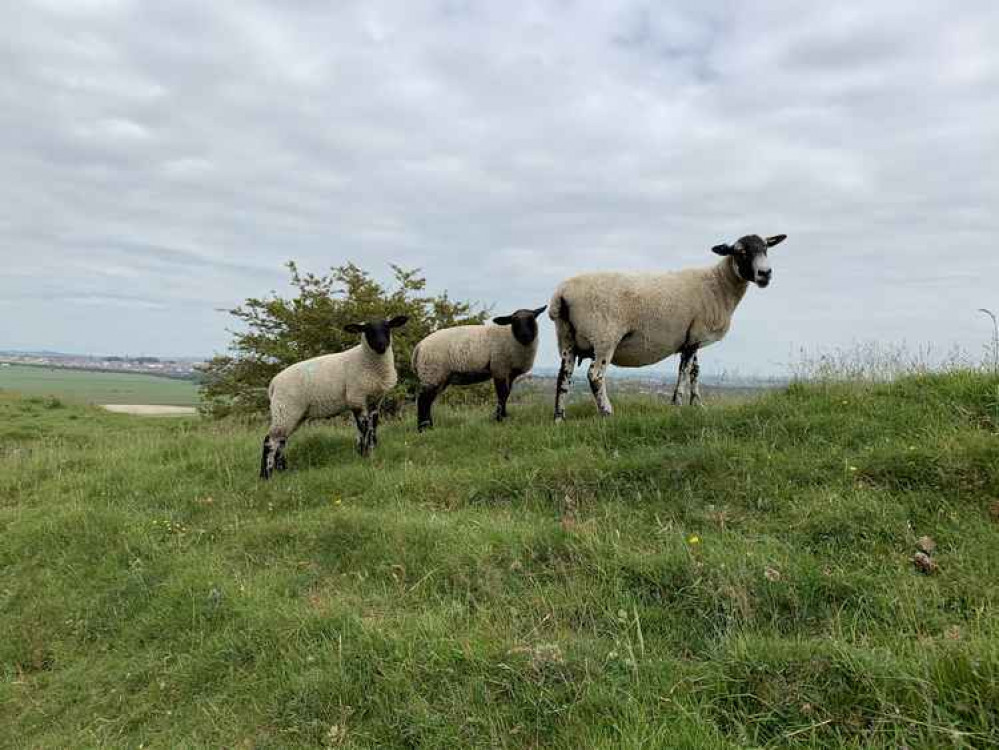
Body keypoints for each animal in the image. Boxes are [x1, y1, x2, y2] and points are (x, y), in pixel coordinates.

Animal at [262, 314, 414, 478]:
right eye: (367, 330)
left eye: (387, 327)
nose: (381, 344)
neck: (365, 359)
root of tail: (273, 384)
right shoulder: (356, 398)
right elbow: (363, 429)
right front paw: (365, 454)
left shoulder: (374, 401)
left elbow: (372, 428)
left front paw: (371, 450)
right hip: (285, 409)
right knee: (270, 441)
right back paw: (266, 475)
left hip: (293, 414)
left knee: (281, 442)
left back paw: (283, 471)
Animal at [410, 306, 548, 432]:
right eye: (514, 321)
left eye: (532, 318)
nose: (525, 335)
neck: (513, 339)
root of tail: (419, 347)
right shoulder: (499, 368)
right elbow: (502, 394)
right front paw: (499, 419)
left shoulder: (510, 373)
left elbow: (507, 394)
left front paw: (503, 416)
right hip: (432, 372)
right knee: (423, 400)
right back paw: (423, 428)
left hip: (438, 377)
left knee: (428, 401)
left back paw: (429, 426)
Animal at [548, 234, 788, 424]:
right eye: (741, 251)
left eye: (766, 248)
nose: (765, 273)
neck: (718, 285)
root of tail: (561, 293)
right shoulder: (695, 335)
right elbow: (684, 371)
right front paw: (677, 404)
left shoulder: (693, 336)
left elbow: (695, 370)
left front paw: (697, 405)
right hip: (604, 336)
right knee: (595, 375)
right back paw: (607, 412)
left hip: (566, 337)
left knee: (563, 376)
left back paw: (559, 417)